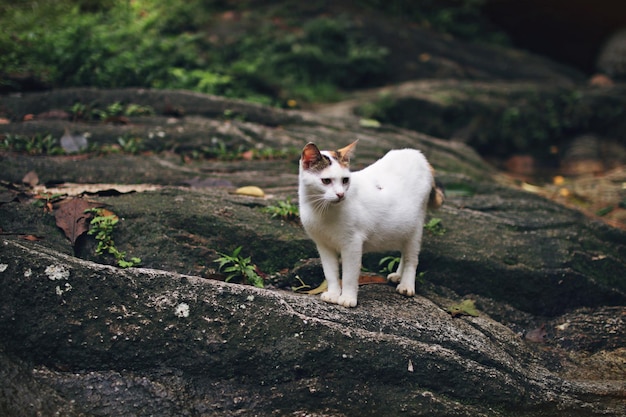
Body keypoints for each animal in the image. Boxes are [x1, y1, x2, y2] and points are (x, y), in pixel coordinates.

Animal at [298, 141, 442, 308]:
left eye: (345, 180)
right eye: (326, 181)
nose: (341, 194)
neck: (321, 209)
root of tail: (417, 154)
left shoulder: (352, 244)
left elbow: (349, 276)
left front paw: (347, 298)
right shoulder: (324, 246)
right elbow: (330, 273)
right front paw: (333, 294)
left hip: (416, 226)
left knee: (411, 258)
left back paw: (406, 285)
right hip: (401, 227)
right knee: (404, 251)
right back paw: (398, 275)